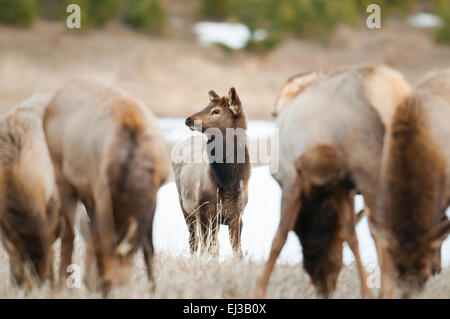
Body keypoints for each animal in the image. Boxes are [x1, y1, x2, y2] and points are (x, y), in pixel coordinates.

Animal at [44, 78, 171, 298]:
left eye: (112, 282)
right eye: (97, 281)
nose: (89, 283)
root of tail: (52, 101)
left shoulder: (155, 193)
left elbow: (149, 249)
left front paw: (154, 288)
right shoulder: (101, 190)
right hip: (61, 173)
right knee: (69, 234)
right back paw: (60, 287)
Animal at [171, 87, 250, 258]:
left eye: (216, 110)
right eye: (206, 105)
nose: (188, 120)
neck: (227, 183)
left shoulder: (237, 215)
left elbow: (238, 252)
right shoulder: (203, 210)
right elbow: (208, 249)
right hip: (186, 206)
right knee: (194, 241)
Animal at [253, 63, 412, 298]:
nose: (325, 288)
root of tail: (392, 93)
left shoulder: (291, 179)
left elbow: (279, 237)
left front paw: (259, 290)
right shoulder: (341, 187)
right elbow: (350, 235)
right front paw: (366, 290)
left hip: (372, 174)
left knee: (384, 232)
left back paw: (388, 290)